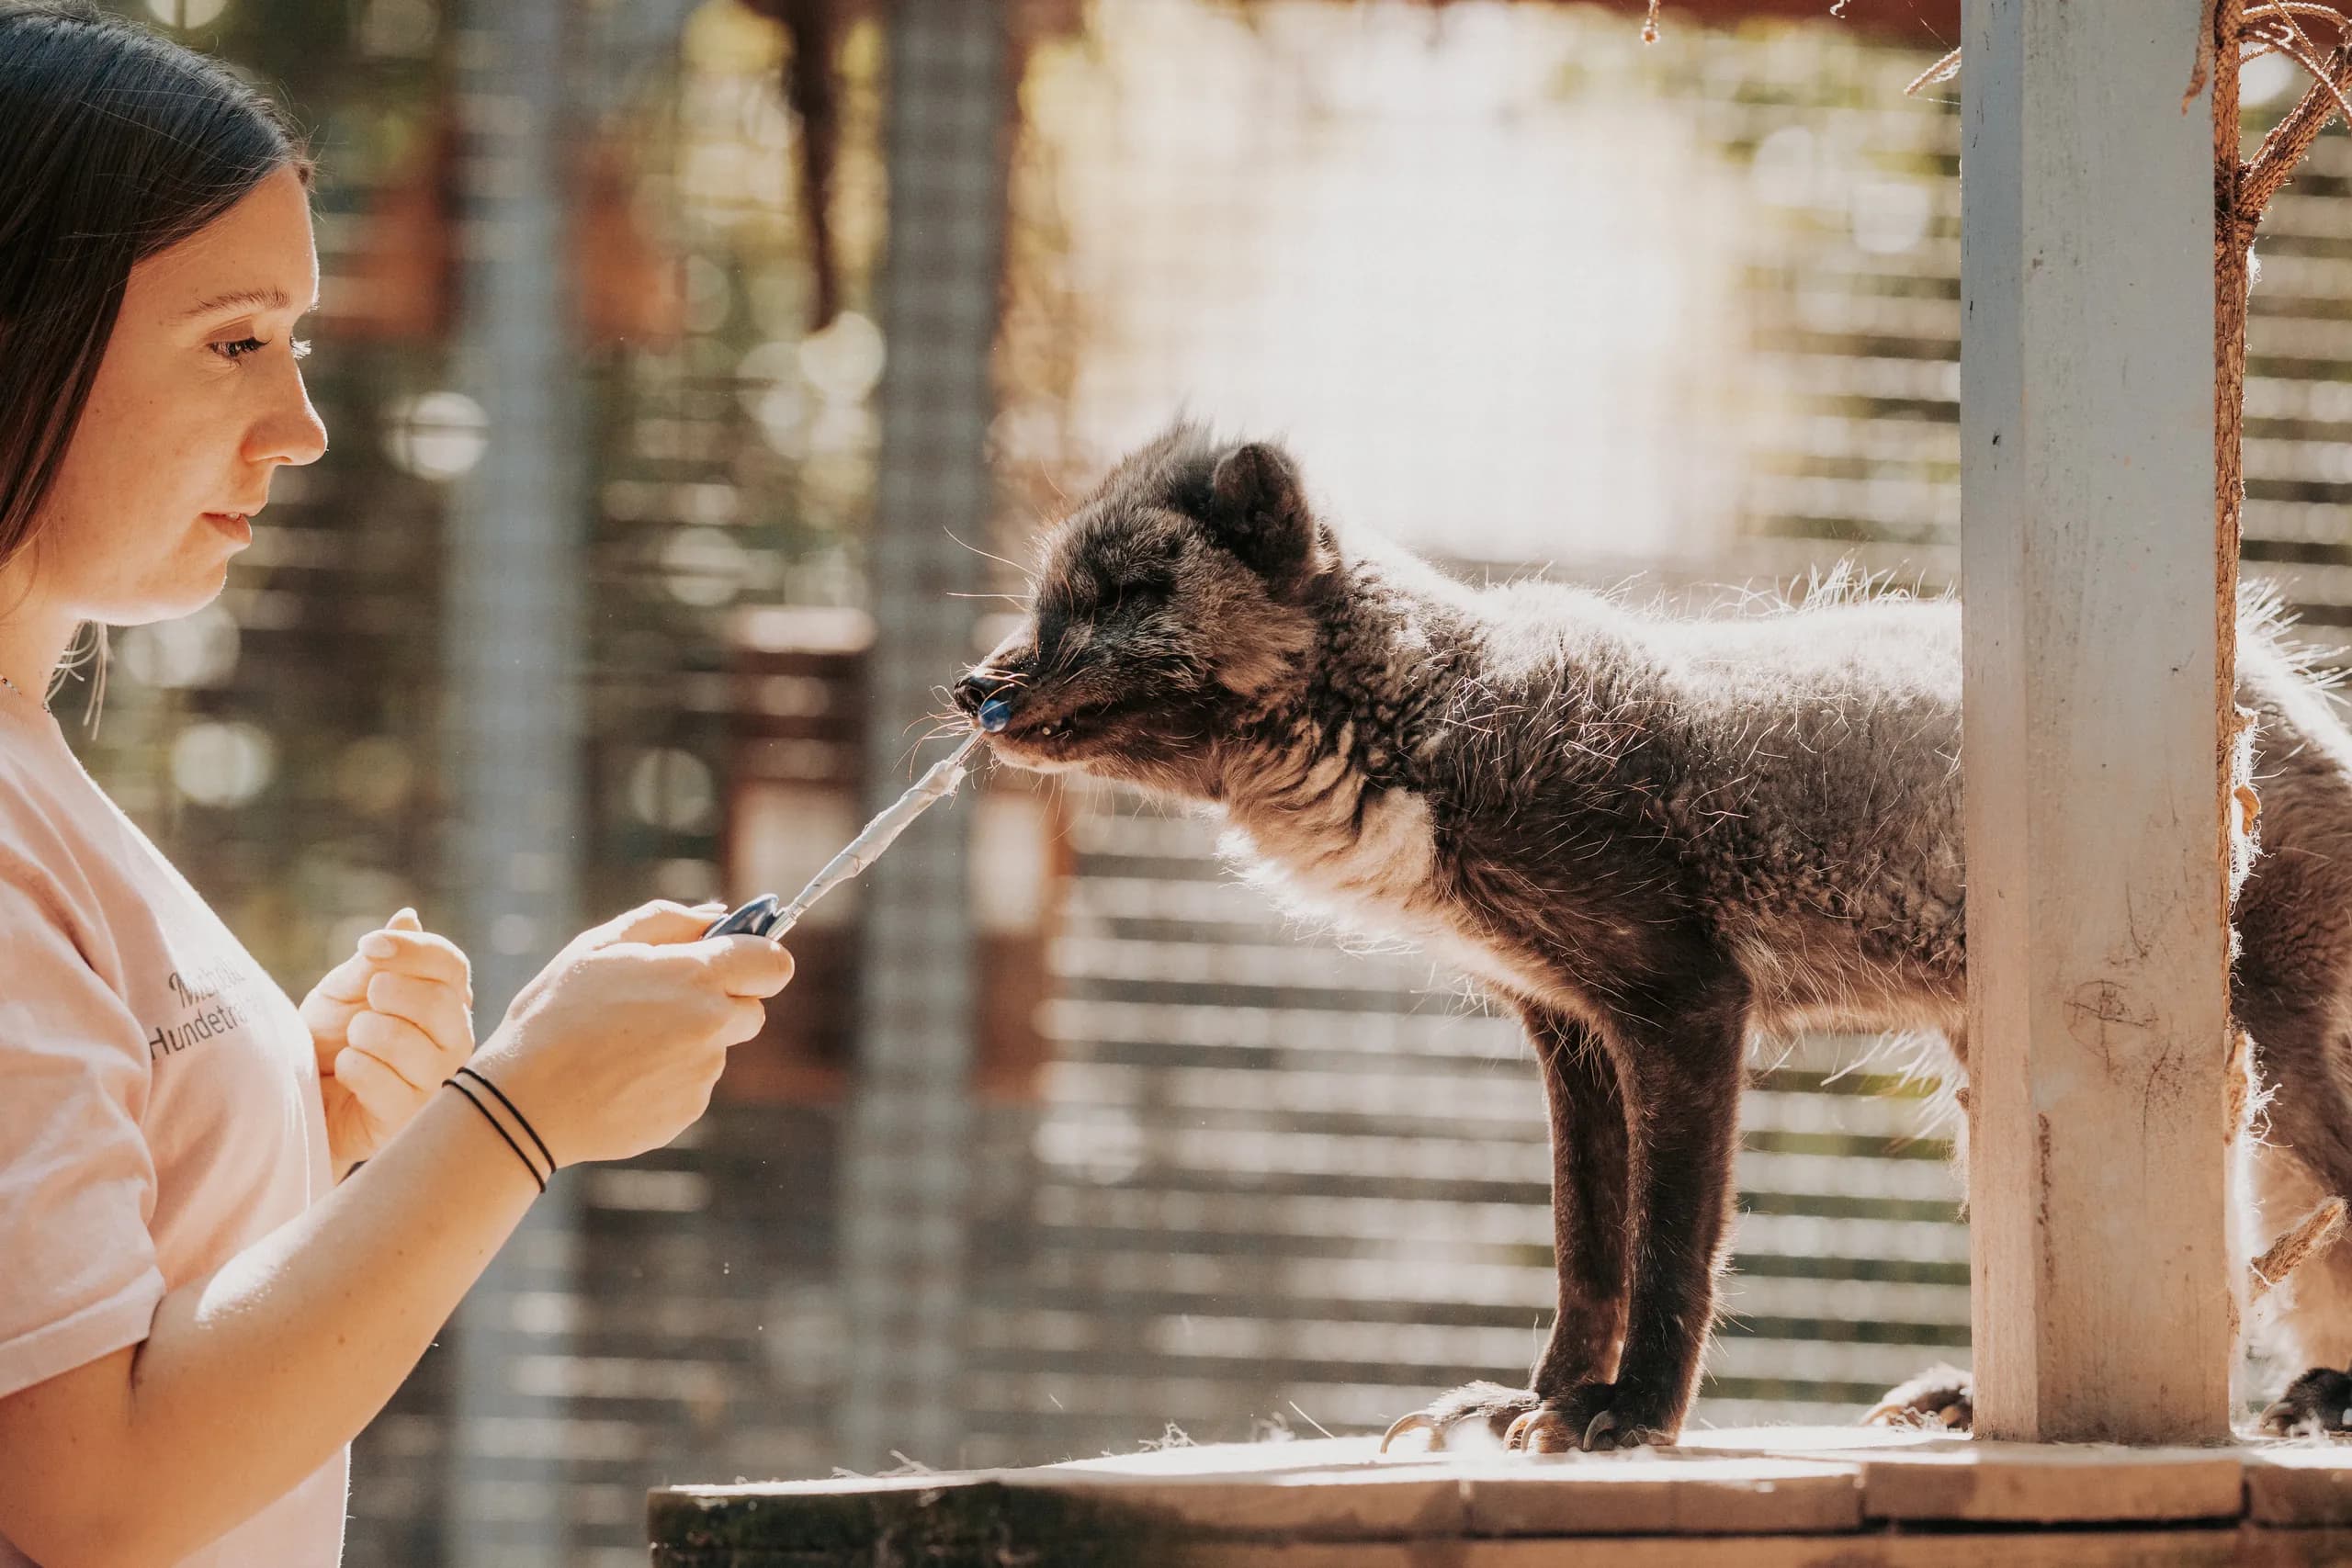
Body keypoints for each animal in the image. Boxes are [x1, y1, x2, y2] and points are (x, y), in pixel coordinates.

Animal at [954, 420, 2352, 1449]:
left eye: (1120, 596)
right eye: (1046, 599)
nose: (975, 686)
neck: (1435, 720)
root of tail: (2289, 694)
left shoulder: (1684, 1007)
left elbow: (1671, 1247)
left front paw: (1632, 1415)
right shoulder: (1569, 1028)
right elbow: (1589, 1250)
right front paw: (1543, 1400)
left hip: (2258, 1064)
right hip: (1998, 1083)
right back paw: (1975, 1394)